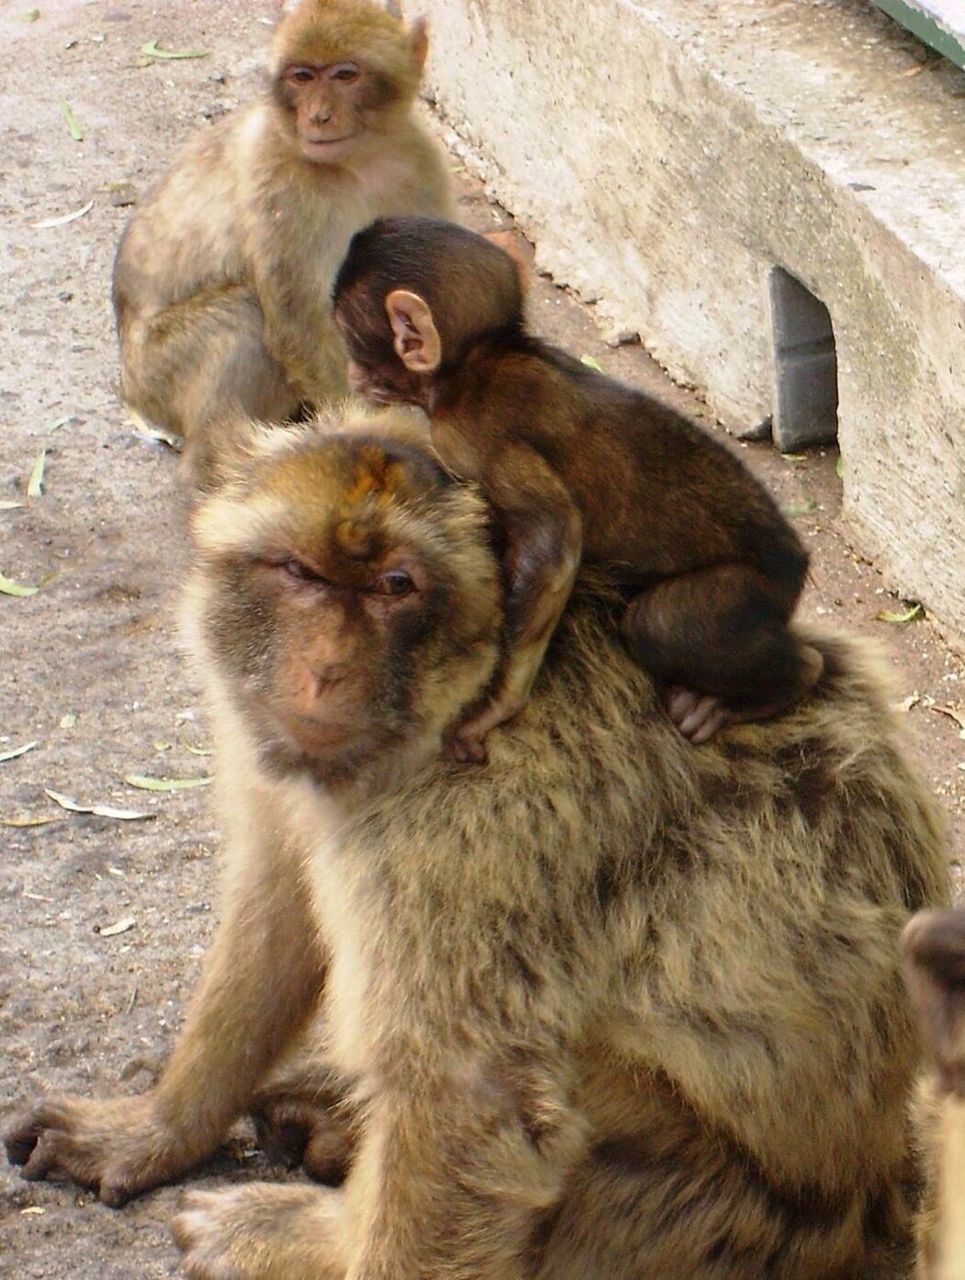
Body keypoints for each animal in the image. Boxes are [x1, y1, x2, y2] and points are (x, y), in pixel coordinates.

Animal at [3, 401, 941, 1280]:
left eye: (395, 586)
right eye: (299, 573)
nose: (327, 670)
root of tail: (871, 1191)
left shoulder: (480, 827)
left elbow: (472, 1101)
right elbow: (275, 910)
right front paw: (158, 1126)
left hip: (704, 1219)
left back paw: (313, 1231)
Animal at [111, 0, 450, 486]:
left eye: (345, 75)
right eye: (302, 76)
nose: (318, 117)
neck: (359, 160)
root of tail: (129, 388)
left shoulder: (420, 161)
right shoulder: (277, 178)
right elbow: (297, 319)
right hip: (157, 374)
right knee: (242, 316)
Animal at [330, 215, 819, 757]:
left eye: (352, 341)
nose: (351, 372)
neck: (473, 364)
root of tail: (795, 562)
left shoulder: (472, 435)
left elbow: (554, 540)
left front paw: (495, 706)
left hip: (750, 590)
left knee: (661, 624)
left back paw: (780, 682)